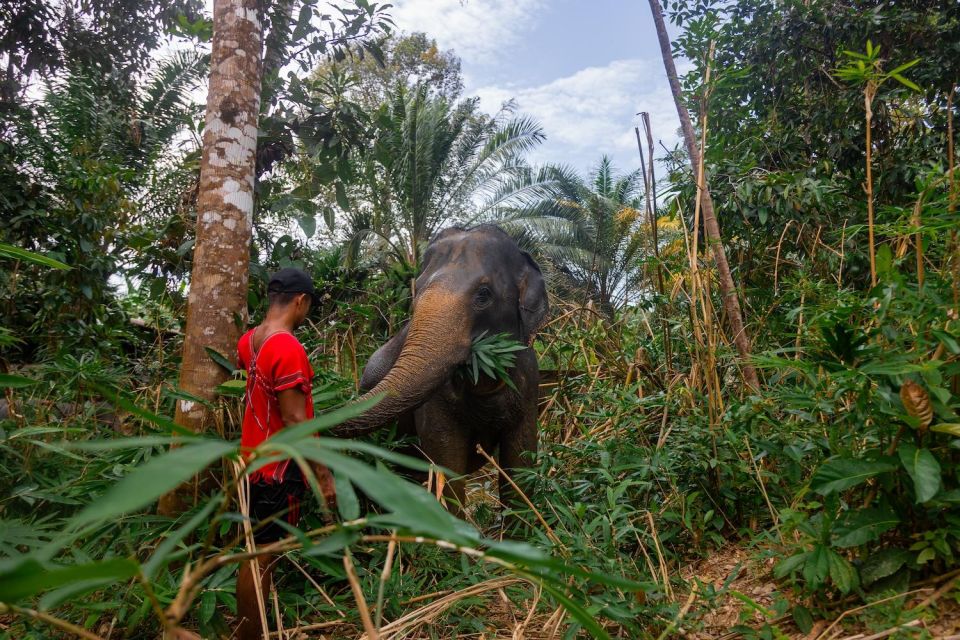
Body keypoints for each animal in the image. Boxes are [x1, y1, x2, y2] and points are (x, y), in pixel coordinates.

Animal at [334, 224, 548, 516]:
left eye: (484, 294)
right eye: (417, 291)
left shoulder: (530, 383)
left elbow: (521, 462)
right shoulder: (435, 402)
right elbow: (446, 463)